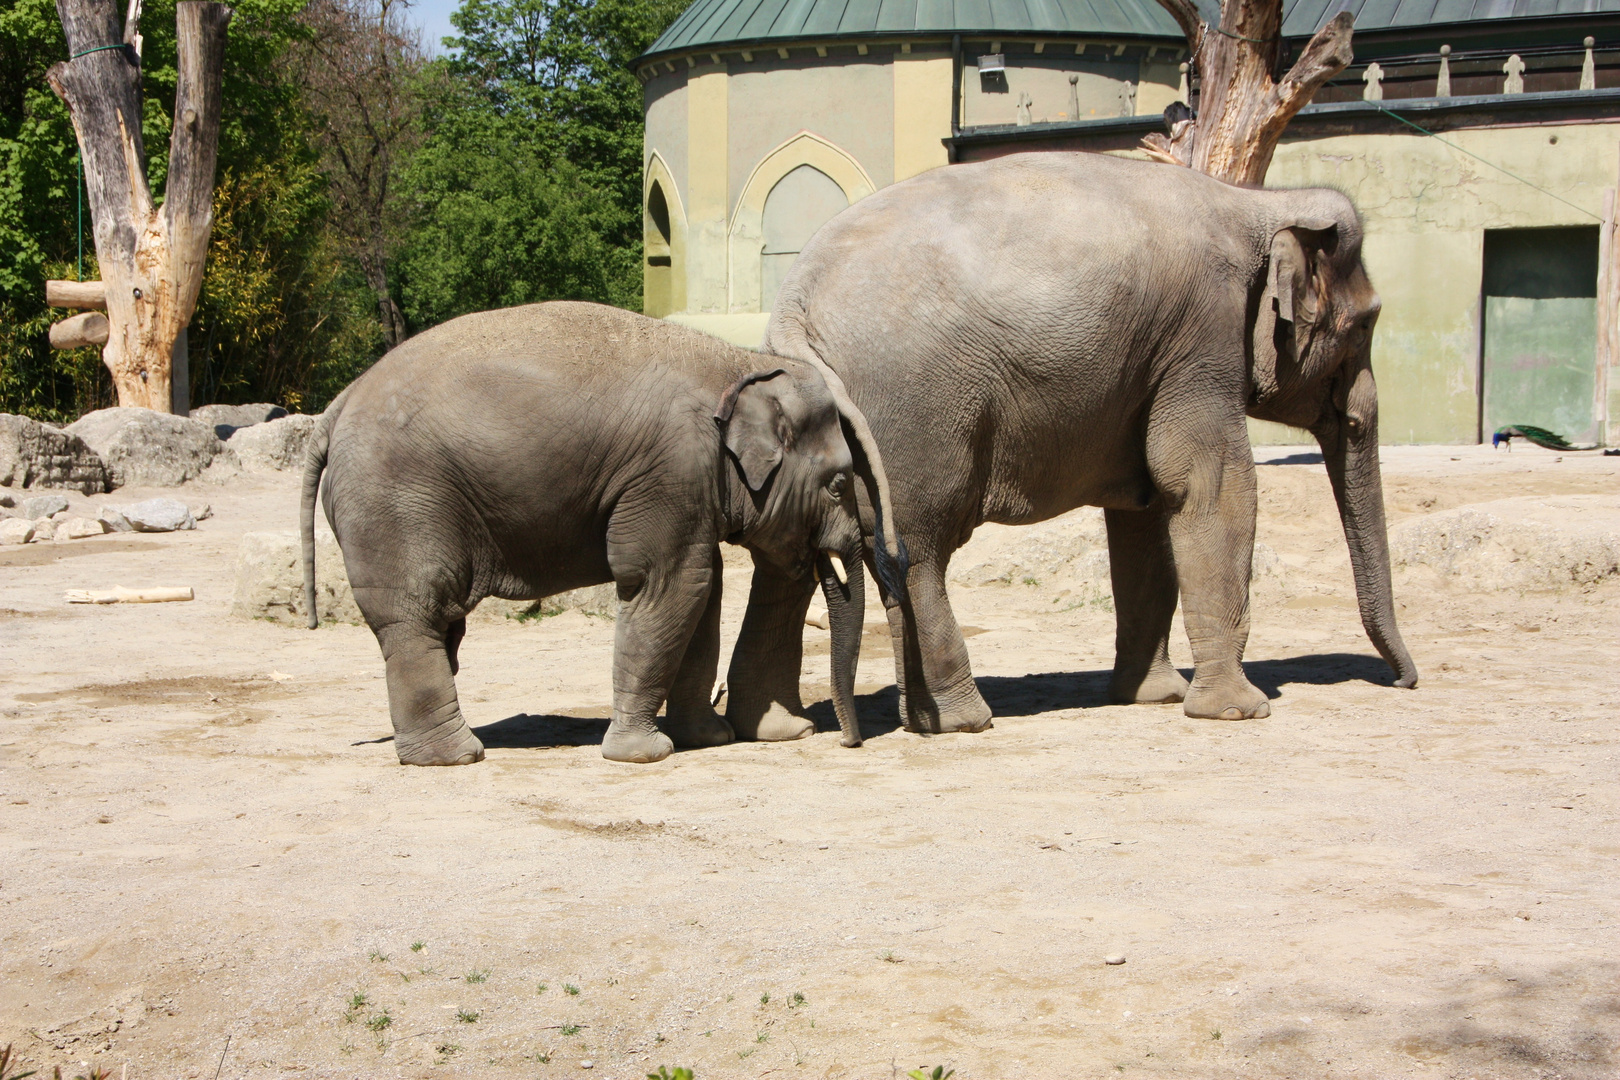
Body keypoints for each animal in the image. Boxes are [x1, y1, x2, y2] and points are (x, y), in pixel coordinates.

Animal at [298, 299, 894, 764]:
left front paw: (707, 740)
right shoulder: (671, 468)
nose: (845, 742)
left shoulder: (687, 486)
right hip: (395, 501)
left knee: (442, 623)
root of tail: (335, 408)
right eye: (838, 484)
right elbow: (671, 583)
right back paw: (457, 757)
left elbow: (702, 588)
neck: (740, 361)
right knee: (416, 611)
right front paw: (644, 754)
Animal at [722, 149, 1419, 744]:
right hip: (914, 412)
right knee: (918, 551)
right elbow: (1212, 486)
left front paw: (1155, 697)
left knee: (799, 558)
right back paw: (963, 721)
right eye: (1365, 325)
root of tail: (793, 307)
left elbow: (1144, 513)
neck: (1258, 204)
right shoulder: (1202, 338)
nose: (1404, 681)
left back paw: (817, 727)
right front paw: (1237, 712)